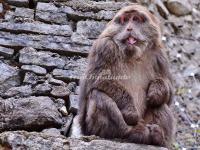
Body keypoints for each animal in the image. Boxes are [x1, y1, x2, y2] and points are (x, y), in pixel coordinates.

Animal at [78, 3, 175, 148]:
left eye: (135, 19)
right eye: (125, 20)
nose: (129, 28)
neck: (133, 53)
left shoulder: (160, 55)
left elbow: (168, 93)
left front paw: (157, 90)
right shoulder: (105, 47)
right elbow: (98, 78)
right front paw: (130, 111)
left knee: (160, 104)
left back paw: (157, 137)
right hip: (93, 128)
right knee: (98, 95)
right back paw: (130, 133)